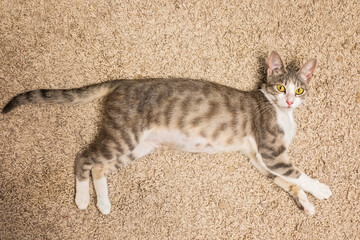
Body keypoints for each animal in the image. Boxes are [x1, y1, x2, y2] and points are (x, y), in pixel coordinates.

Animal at [2, 51, 332, 216]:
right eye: (280, 86)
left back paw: (104, 204)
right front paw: (321, 189)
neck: (283, 115)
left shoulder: (259, 160)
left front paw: (305, 202)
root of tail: (122, 82)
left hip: (136, 146)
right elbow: (296, 172)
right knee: (83, 156)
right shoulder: (270, 151)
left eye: (299, 90)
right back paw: (82, 200)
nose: (289, 101)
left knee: (99, 167)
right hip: (124, 135)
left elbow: (288, 182)